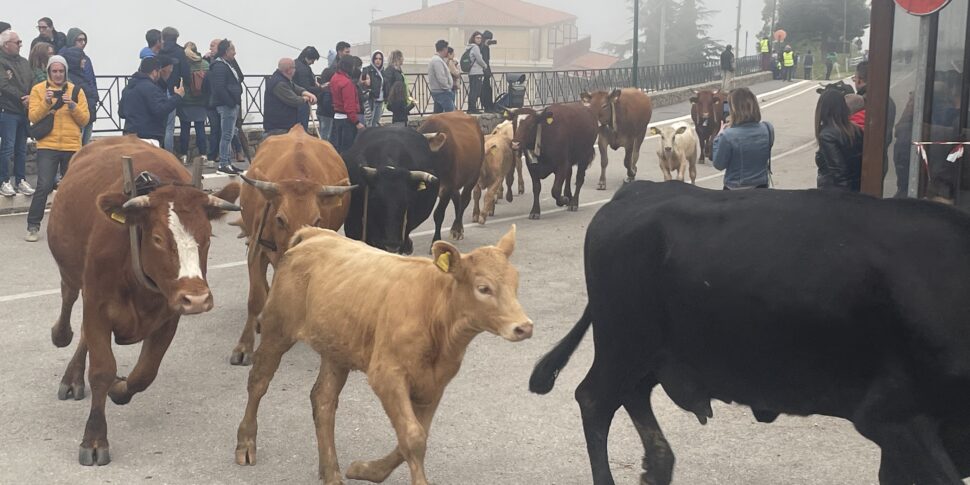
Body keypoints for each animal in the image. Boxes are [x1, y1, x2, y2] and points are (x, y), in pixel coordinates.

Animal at [46, 134, 240, 464]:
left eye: (207, 236)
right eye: (159, 238)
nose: (197, 298)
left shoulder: (169, 315)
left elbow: (145, 373)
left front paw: (119, 389)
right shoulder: (97, 303)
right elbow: (101, 369)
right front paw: (94, 439)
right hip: (71, 272)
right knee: (69, 299)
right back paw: (64, 350)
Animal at [235, 226, 532, 484]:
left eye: (516, 283)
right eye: (483, 288)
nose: (524, 327)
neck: (433, 309)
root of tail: (315, 234)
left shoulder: (434, 385)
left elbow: (414, 436)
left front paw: (366, 470)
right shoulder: (387, 375)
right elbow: (413, 437)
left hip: (336, 349)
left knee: (323, 400)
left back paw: (331, 472)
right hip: (277, 330)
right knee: (258, 381)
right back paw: (246, 443)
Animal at [528, 180, 970, 482]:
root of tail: (637, 190)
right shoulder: (894, 415)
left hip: (651, 351)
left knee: (632, 395)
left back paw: (659, 467)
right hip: (625, 340)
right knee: (595, 399)